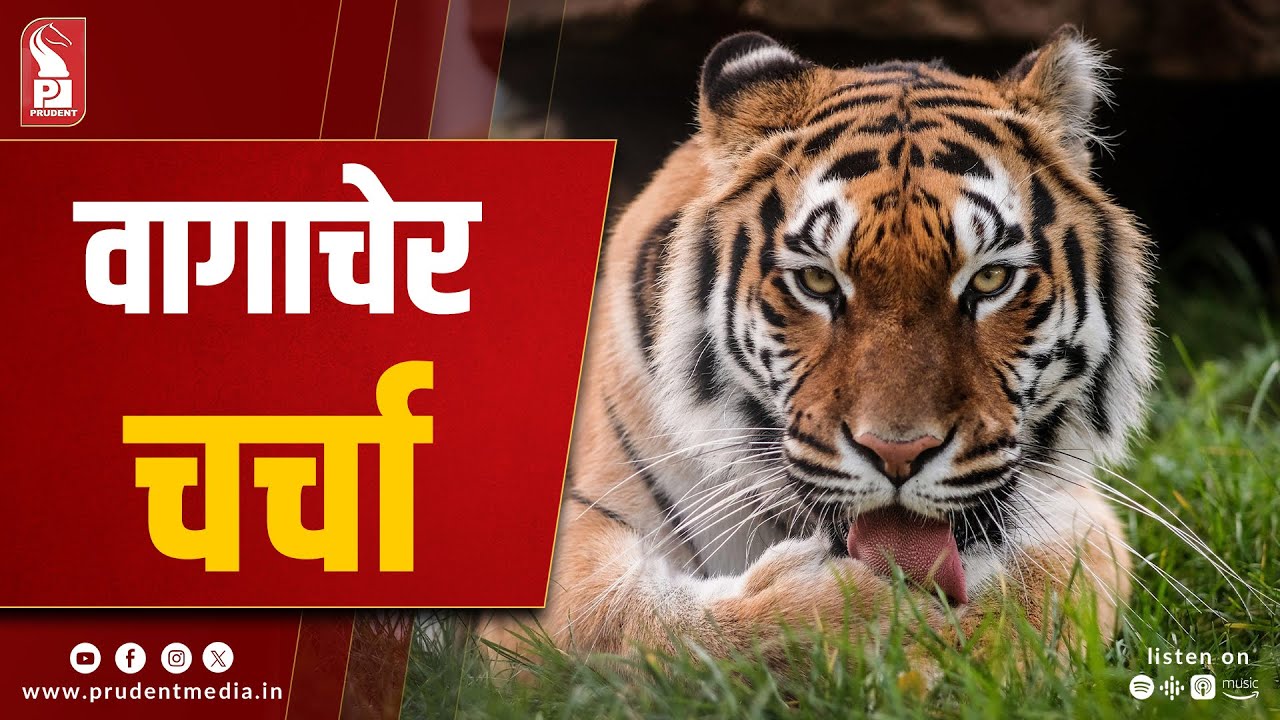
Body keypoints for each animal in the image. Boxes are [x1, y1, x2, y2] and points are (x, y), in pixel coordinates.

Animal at [482, 26, 1155, 666]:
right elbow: (624, 626)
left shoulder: (1080, 510)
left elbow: (1044, 586)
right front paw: (874, 617)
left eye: (990, 280)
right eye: (818, 282)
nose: (898, 454)